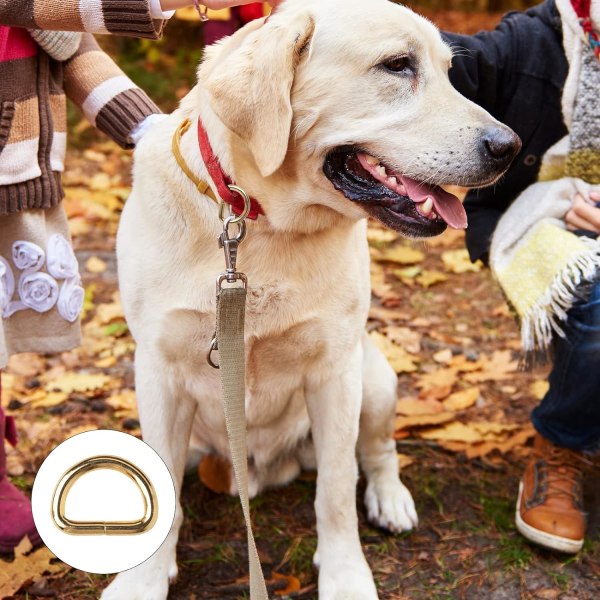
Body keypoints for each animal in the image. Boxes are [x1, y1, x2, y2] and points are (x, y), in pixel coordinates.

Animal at [105, 1, 516, 600]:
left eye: (448, 71)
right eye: (397, 65)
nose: (509, 148)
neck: (260, 223)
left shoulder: (335, 373)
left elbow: (338, 490)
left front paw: (346, 576)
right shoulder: (159, 374)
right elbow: (164, 495)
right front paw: (143, 580)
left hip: (375, 376)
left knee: (377, 452)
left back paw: (390, 498)